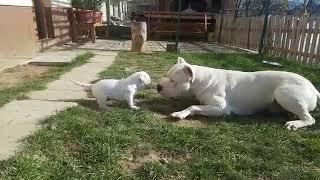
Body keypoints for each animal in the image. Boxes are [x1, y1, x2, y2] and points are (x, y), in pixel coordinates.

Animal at [158, 57, 320, 130]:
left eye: (173, 80)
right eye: (166, 76)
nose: (158, 86)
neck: (202, 79)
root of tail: (314, 88)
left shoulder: (221, 108)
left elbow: (193, 106)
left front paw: (180, 113)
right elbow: (196, 104)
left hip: (283, 92)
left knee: (310, 119)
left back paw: (295, 123)